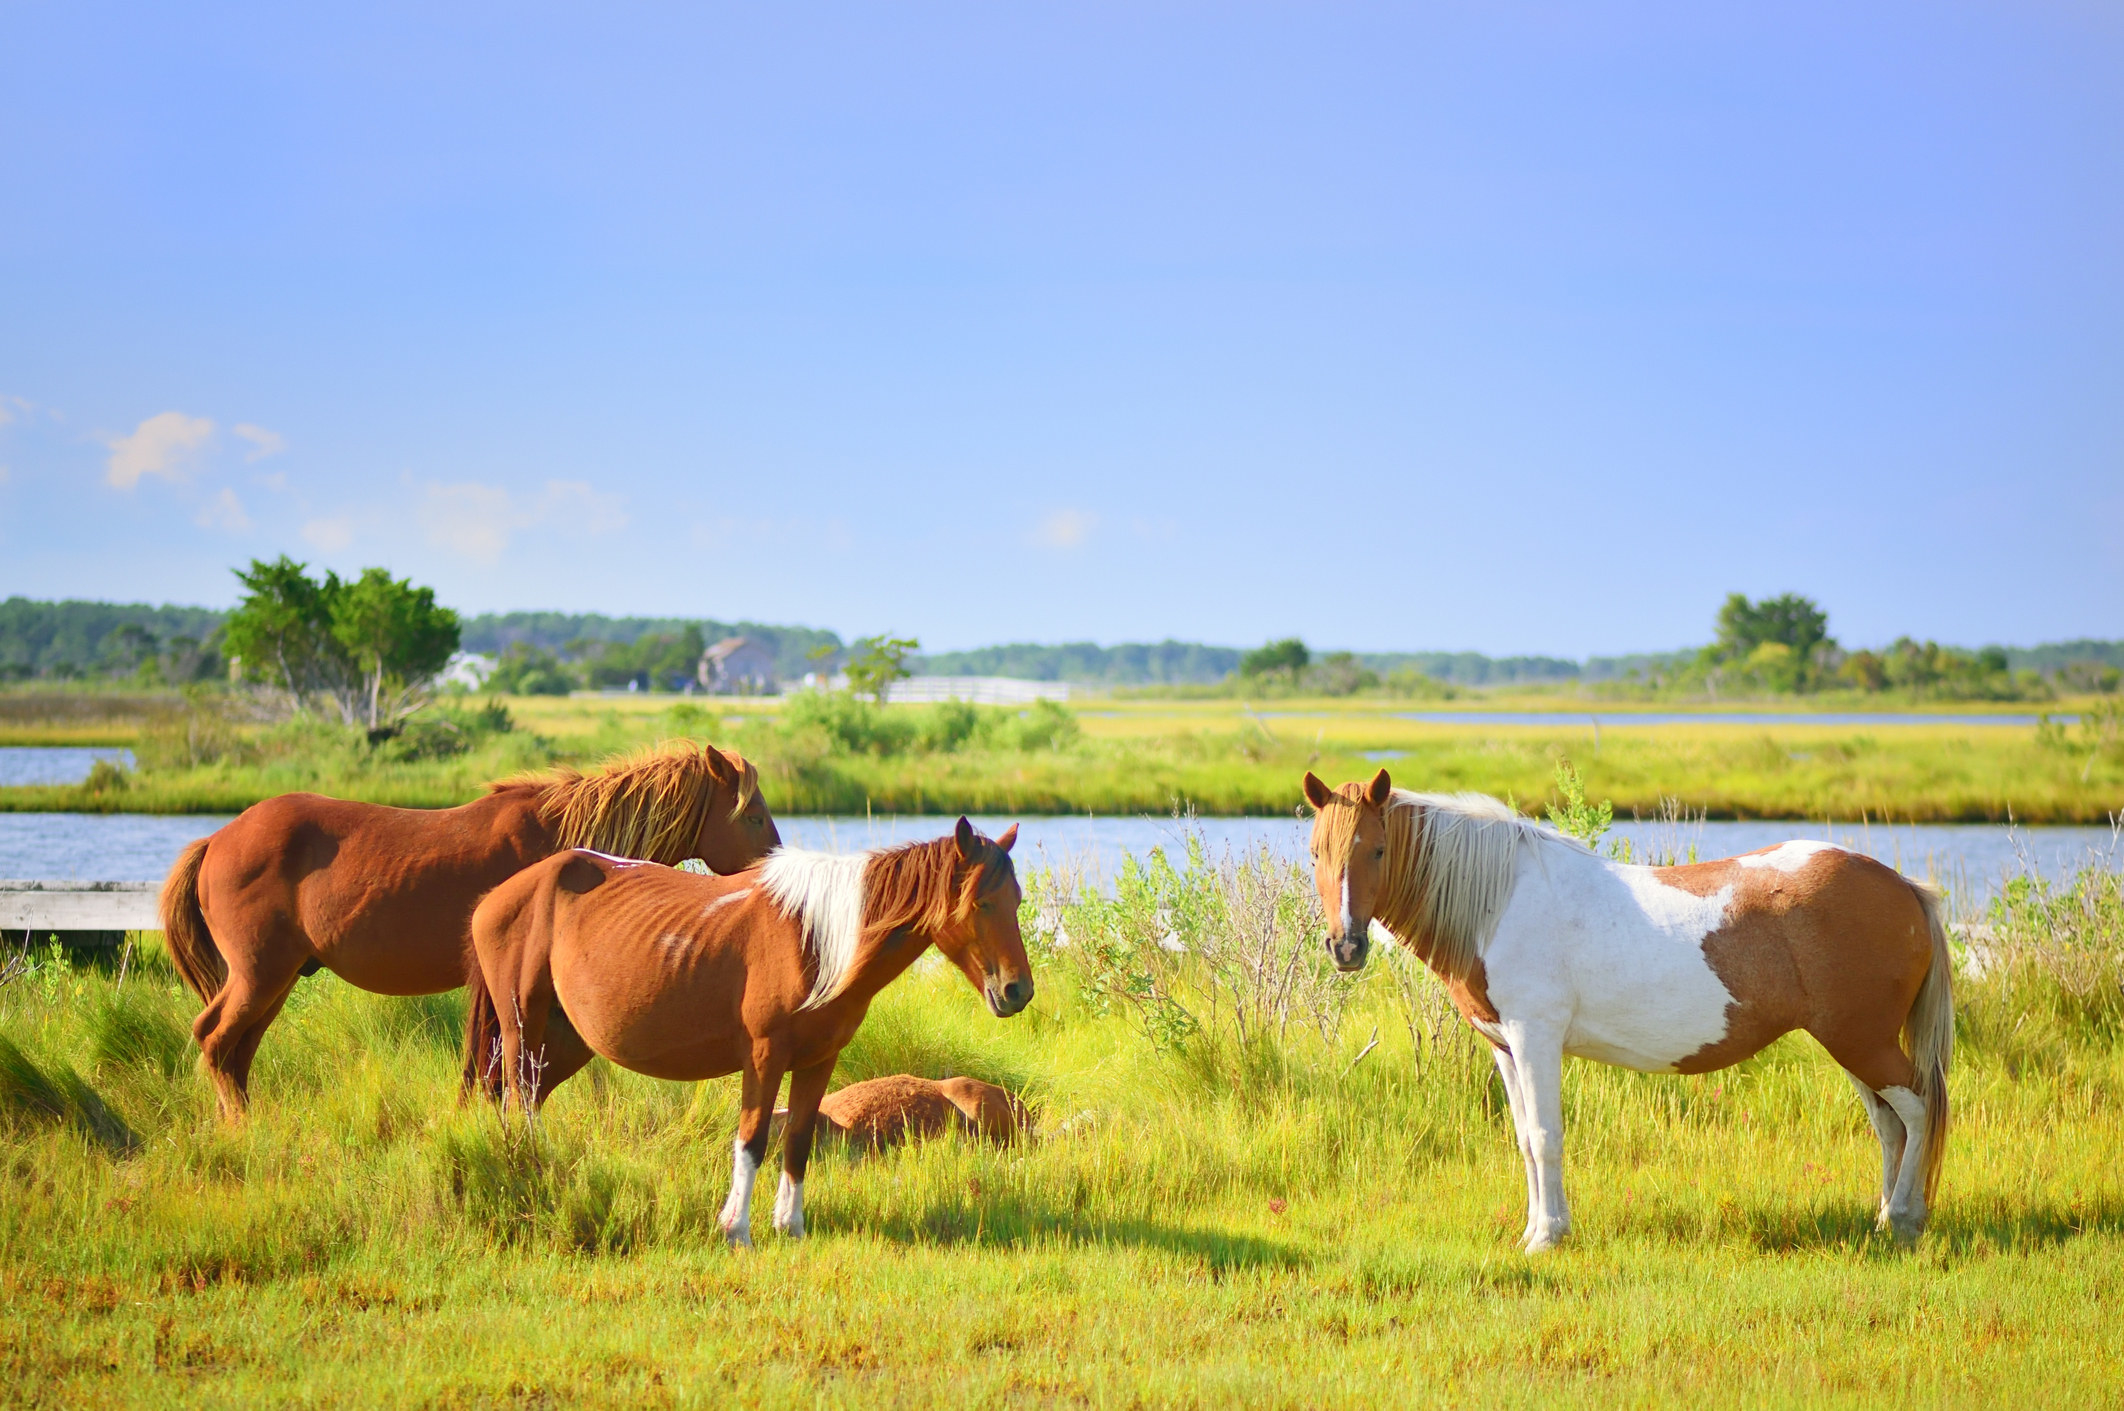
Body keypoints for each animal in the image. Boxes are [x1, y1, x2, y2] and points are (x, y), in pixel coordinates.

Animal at [157, 743, 777, 1122]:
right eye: (750, 815)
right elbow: (495, 1060)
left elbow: (487, 1062)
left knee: (236, 1052)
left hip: (275, 982)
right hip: (259, 976)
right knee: (215, 1040)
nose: (775, 869)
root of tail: (217, 839)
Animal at [469, 816, 1032, 1249]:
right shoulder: (764, 1057)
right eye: (980, 903)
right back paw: (533, 1169)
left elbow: (799, 1139)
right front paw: (735, 1229)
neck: (817, 939)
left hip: (564, 1041)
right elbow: (753, 1140)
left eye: (1017, 901)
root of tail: (496, 897)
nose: (1017, 990)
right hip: (523, 1024)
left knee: (524, 1096)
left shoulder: (818, 1060)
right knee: (518, 1097)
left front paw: (791, 1227)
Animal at [1299, 773, 1945, 1249]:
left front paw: (1548, 1238)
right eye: (1314, 854)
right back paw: (1885, 1219)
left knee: (1918, 1109)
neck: (1498, 900)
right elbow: (1524, 1139)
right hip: (1851, 1044)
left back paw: (1906, 1219)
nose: (1345, 947)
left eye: (1377, 849)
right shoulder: (1505, 1046)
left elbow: (1546, 1135)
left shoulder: (1536, 1038)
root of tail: (1904, 888)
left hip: (1862, 1041)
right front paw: (1534, 1229)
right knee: (1889, 1124)